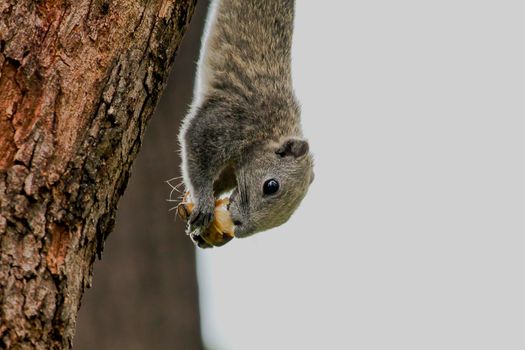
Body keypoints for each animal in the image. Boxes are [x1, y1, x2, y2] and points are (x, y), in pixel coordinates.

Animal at [178, 0, 314, 245]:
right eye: (271, 186)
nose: (239, 226)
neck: (268, 134)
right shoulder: (232, 120)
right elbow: (195, 142)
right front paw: (203, 202)